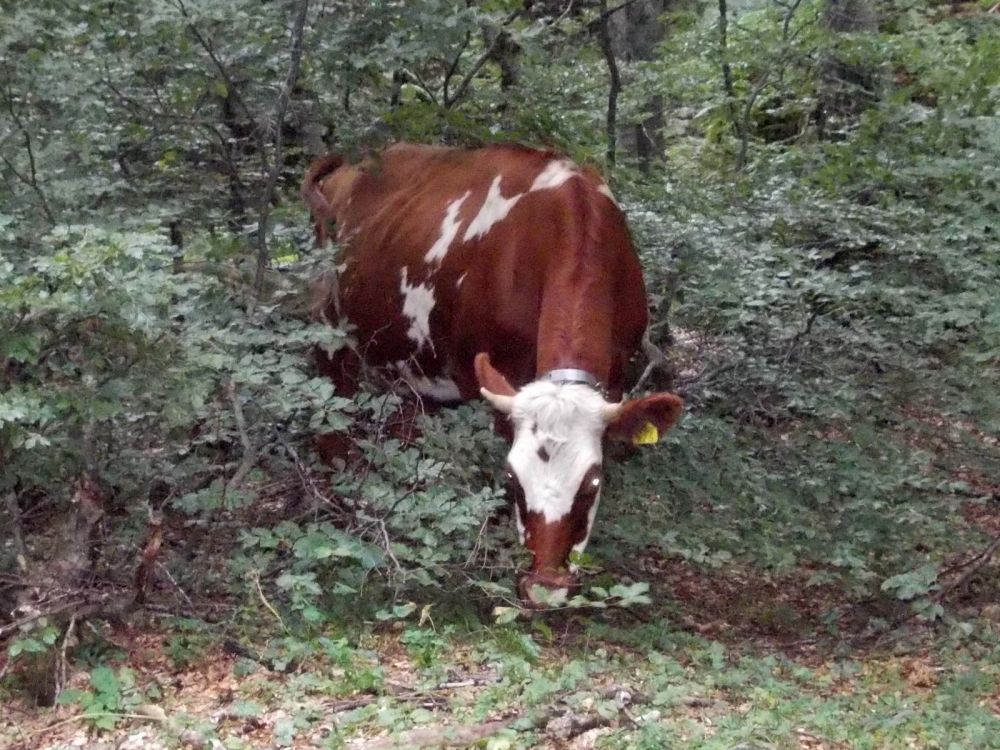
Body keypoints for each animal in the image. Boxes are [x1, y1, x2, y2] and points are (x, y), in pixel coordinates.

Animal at [300, 144, 684, 604]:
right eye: (513, 479)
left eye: (592, 483)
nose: (545, 587)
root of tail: (348, 164)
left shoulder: (618, 370)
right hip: (329, 317)